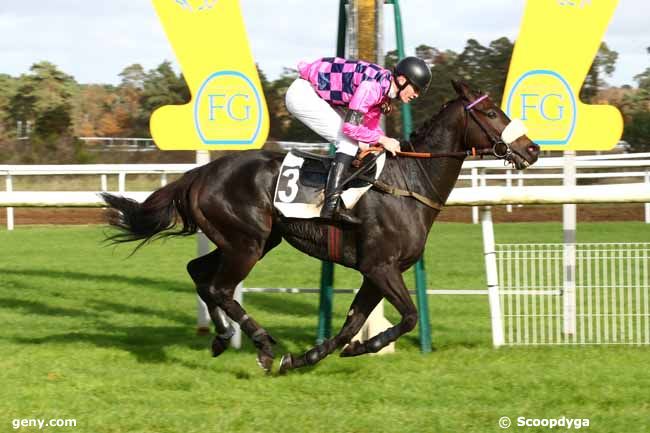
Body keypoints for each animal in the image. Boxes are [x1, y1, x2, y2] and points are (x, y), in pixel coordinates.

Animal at [100, 80, 536, 372]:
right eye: (492, 112)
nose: (532, 149)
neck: (409, 182)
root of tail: (201, 173)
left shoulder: (375, 272)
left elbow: (351, 324)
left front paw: (312, 356)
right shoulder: (381, 267)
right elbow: (409, 316)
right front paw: (358, 347)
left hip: (251, 240)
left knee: (200, 275)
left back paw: (223, 338)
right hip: (247, 243)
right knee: (220, 288)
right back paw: (261, 345)